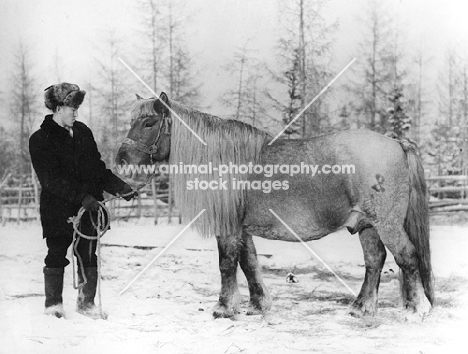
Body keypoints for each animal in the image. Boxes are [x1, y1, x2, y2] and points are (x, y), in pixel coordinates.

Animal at [115, 92, 434, 320]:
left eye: (148, 123)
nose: (121, 159)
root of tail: (397, 143)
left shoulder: (228, 227)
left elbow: (227, 264)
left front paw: (224, 308)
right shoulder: (242, 228)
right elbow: (249, 263)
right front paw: (258, 305)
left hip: (387, 224)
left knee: (407, 257)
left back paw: (415, 310)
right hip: (367, 224)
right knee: (374, 261)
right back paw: (361, 307)